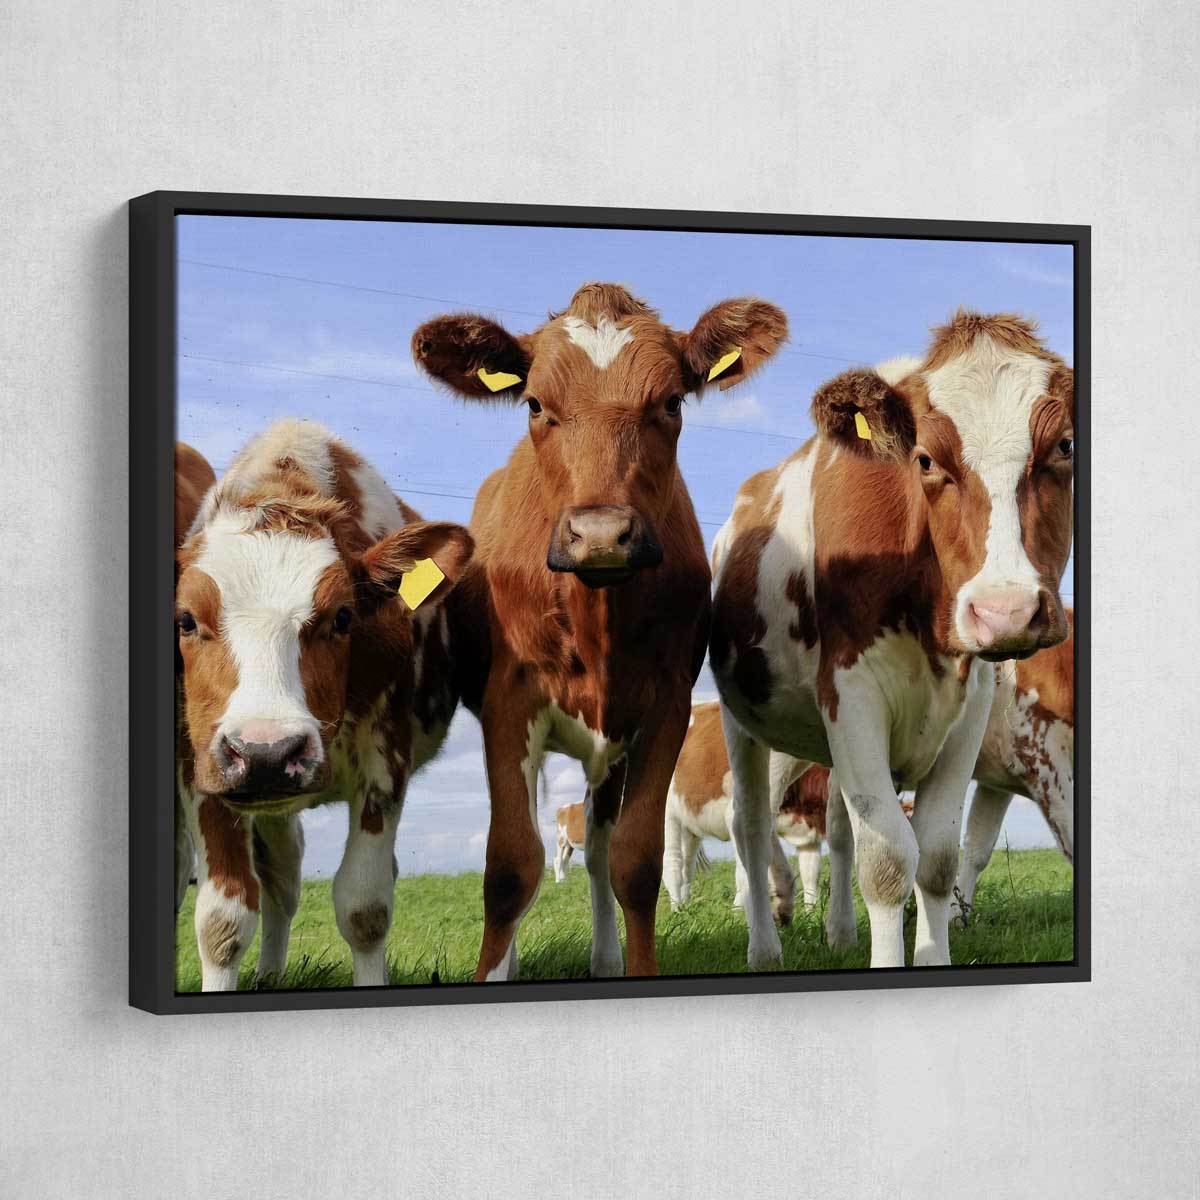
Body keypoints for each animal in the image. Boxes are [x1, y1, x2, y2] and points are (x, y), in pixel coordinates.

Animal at [174, 419, 472, 990]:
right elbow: (223, 921)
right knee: (282, 881)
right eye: (184, 619)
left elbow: (365, 908)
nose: (266, 752)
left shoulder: (385, 761)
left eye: (343, 617)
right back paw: (269, 977)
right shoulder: (200, 766)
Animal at [412, 282, 787, 979]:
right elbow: (510, 866)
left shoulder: (664, 705)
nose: (602, 534)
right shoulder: (509, 703)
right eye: (535, 404)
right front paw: (492, 971)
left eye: (670, 402)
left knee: (594, 843)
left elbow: (633, 862)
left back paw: (606, 958)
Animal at [710, 312, 1074, 969]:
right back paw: (764, 945)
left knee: (836, 829)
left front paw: (931, 958)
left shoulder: (971, 710)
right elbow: (886, 862)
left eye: (1063, 445)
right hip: (748, 723)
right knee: (748, 823)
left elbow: (936, 859)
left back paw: (839, 932)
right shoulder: (850, 696)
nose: (1005, 612)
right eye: (925, 459)